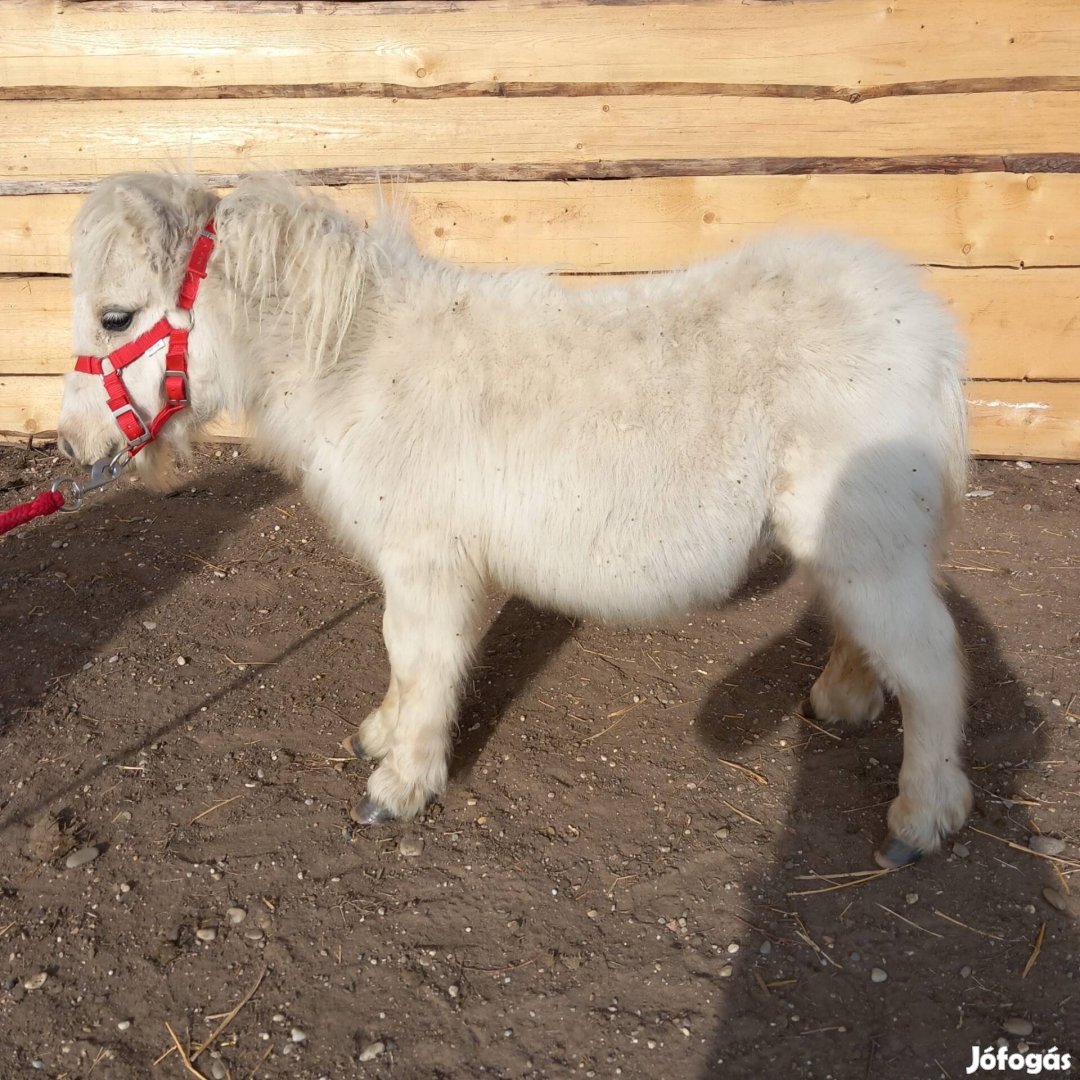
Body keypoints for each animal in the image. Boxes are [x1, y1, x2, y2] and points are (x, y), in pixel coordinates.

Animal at [56, 174, 972, 868]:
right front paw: (383, 736)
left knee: (930, 663)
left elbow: (417, 656)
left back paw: (921, 819)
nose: (75, 444)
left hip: (868, 545)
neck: (357, 362)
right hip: (852, 540)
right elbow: (409, 661)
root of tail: (929, 329)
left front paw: (400, 783)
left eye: (116, 317)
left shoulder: (426, 561)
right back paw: (844, 702)